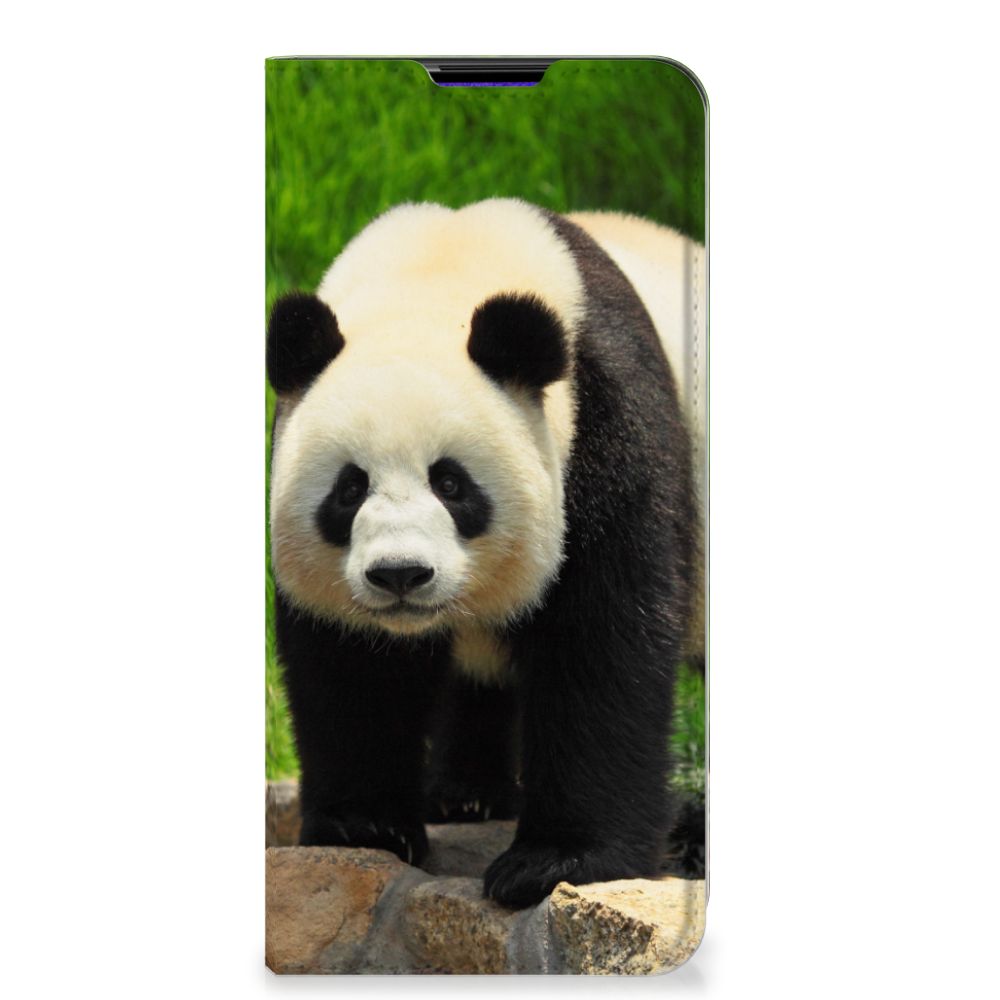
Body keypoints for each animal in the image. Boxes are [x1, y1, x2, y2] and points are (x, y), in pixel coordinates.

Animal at [267, 198, 704, 908]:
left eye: (451, 483)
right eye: (349, 488)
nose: (400, 575)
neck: (438, 270)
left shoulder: (607, 427)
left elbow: (603, 642)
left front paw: (554, 861)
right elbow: (350, 666)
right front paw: (365, 827)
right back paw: (466, 796)